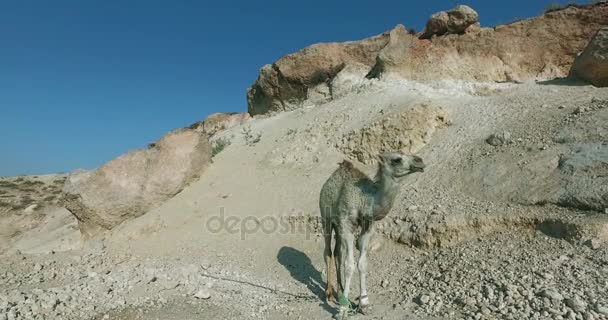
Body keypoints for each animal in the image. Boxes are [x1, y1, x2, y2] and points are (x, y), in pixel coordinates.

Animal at [320, 152, 426, 318]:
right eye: (397, 159)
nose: (419, 161)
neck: (365, 200)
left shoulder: (367, 228)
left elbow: (362, 263)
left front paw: (364, 304)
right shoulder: (347, 225)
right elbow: (349, 265)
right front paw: (343, 310)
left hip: (338, 227)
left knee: (338, 253)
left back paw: (340, 292)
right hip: (326, 218)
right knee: (328, 252)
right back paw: (329, 293)